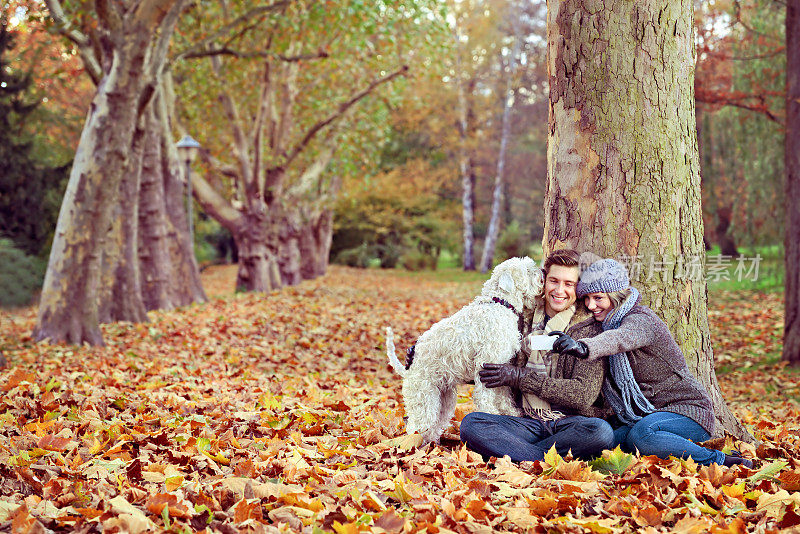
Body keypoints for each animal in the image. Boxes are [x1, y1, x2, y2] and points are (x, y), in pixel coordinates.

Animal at [386, 258, 544, 446]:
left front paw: (511, 412)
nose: (542, 272)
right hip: (424, 396)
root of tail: (408, 369)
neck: (499, 303)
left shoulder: (500, 365)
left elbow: (503, 393)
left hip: (445, 398)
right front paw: (490, 413)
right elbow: (485, 396)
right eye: (527, 270)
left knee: (434, 426)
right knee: (417, 426)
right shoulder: (486, 364)